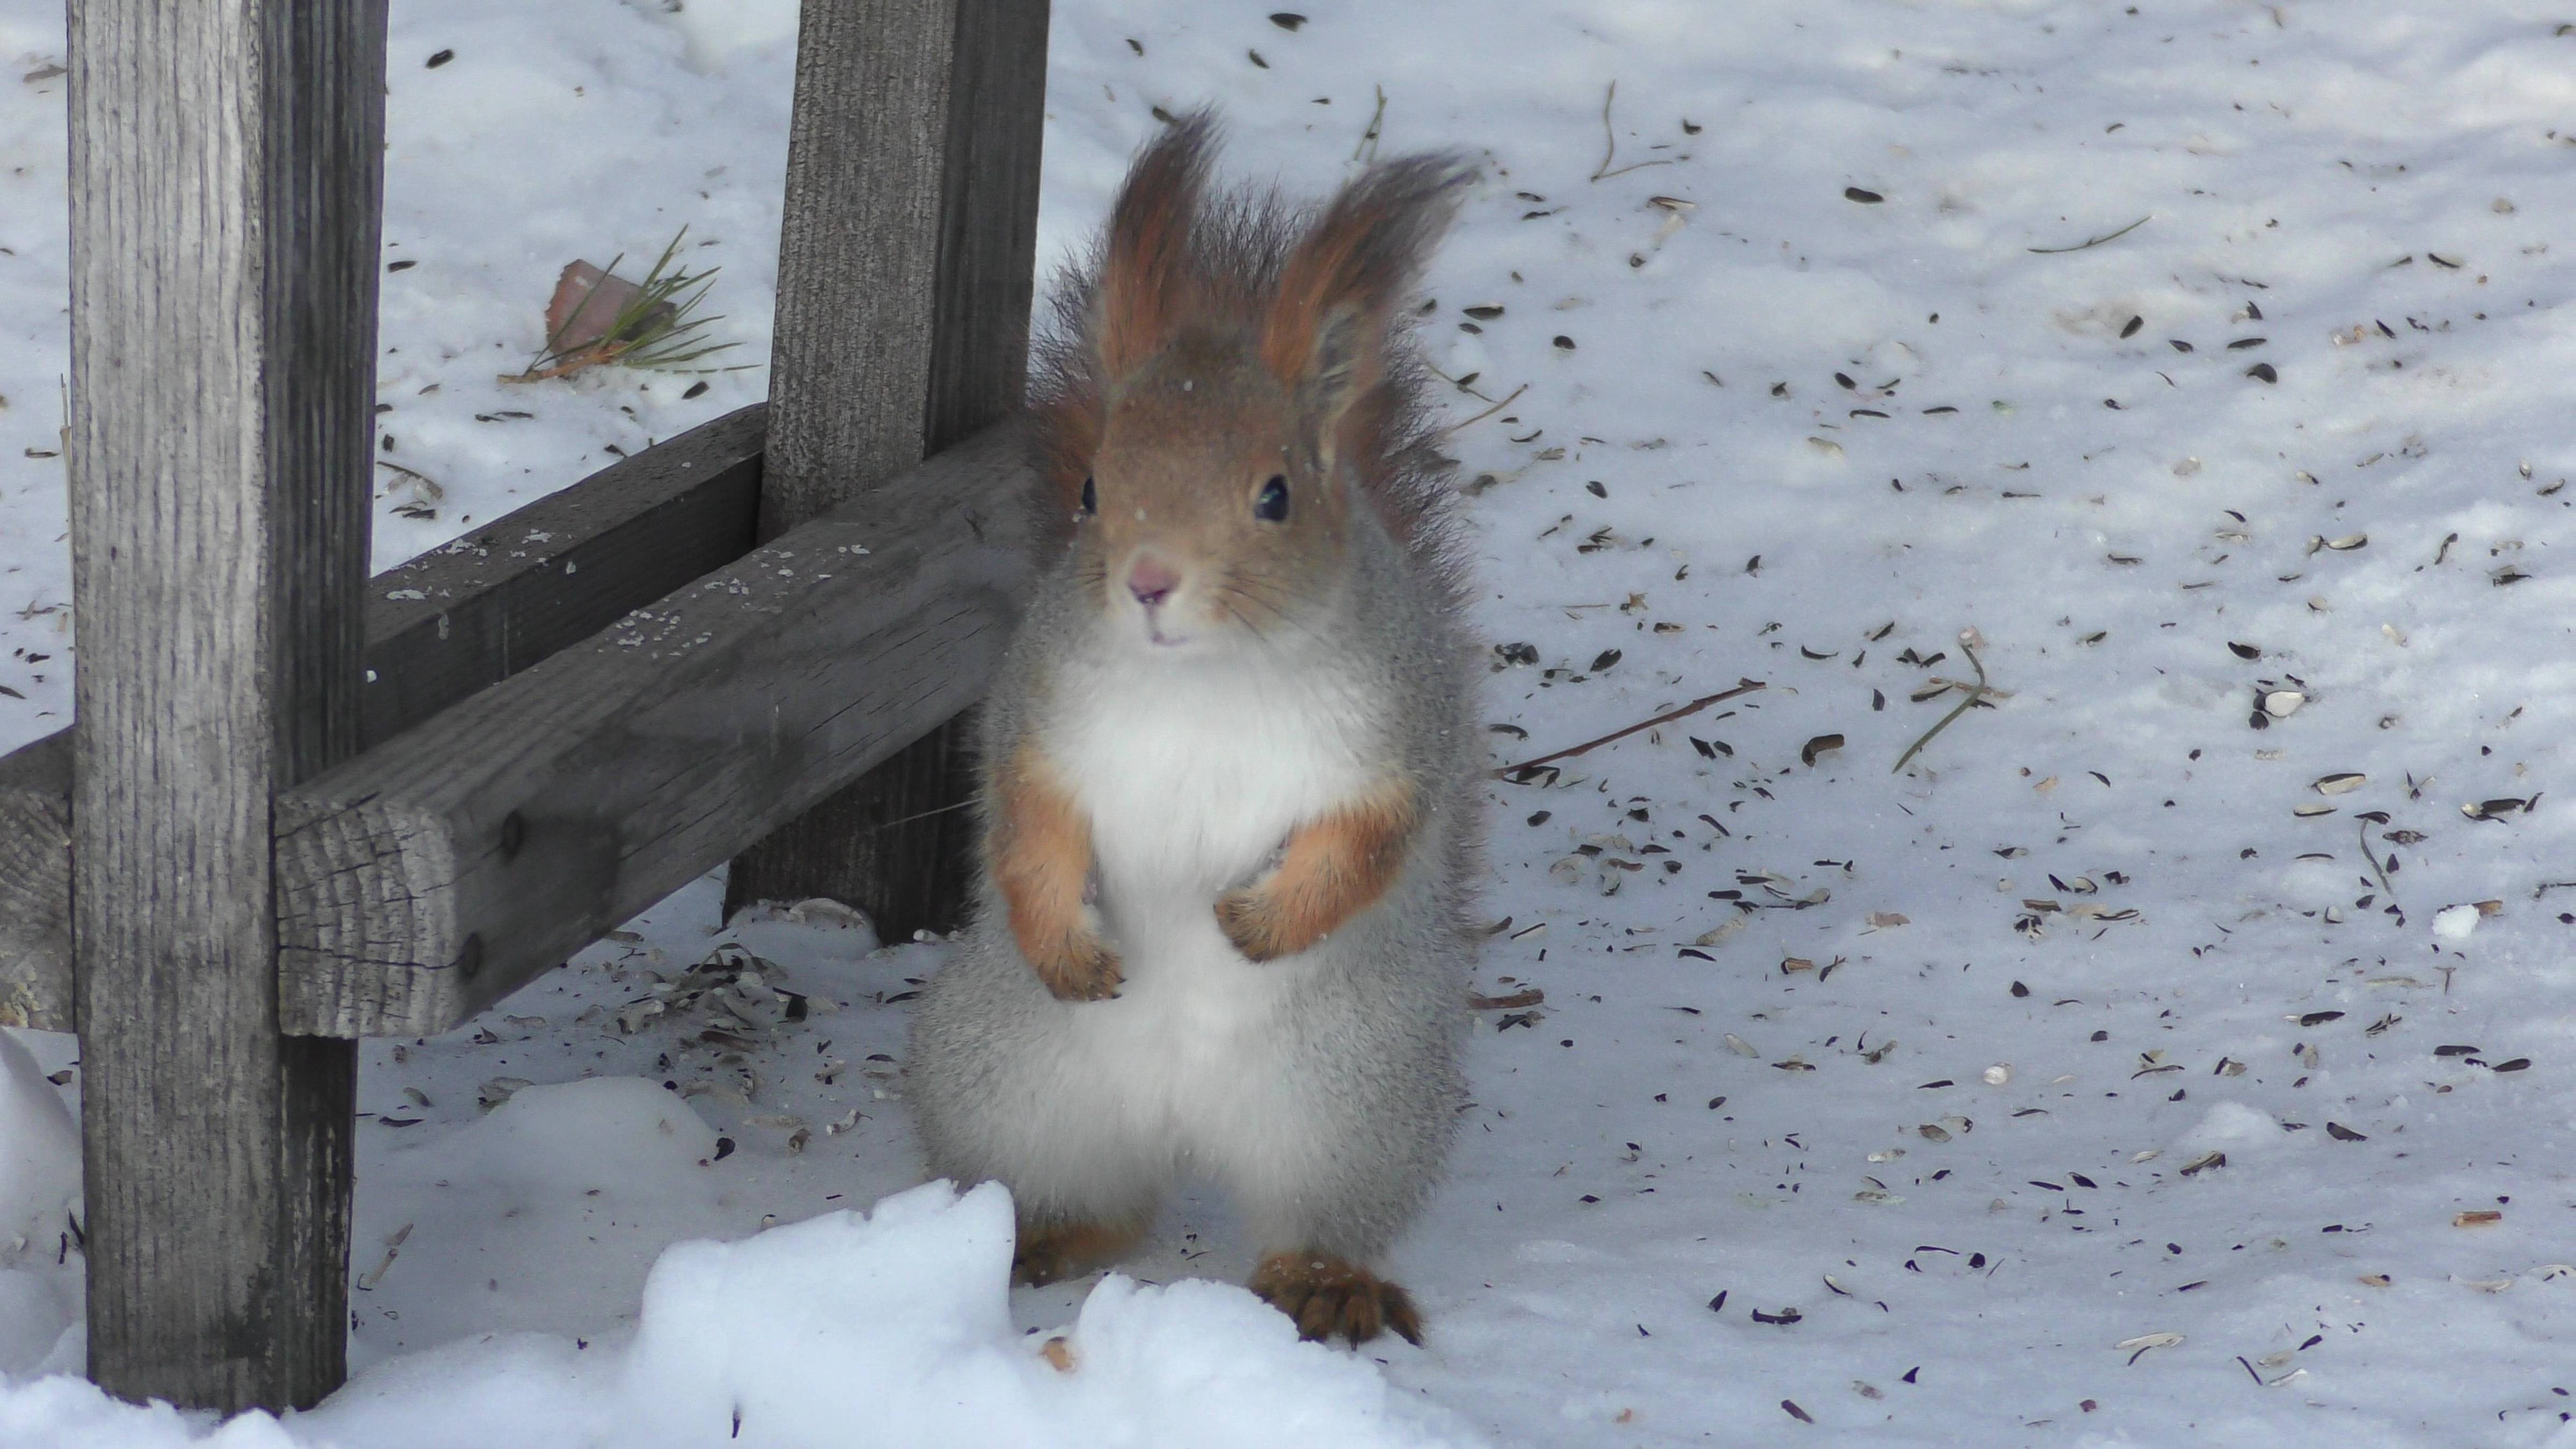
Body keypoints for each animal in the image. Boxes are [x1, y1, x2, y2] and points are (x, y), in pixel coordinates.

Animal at [917, 115, 1494, 1341]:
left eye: (1275, 495)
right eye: (1093, 489)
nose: (1147, 580)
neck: (1207, 681)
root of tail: (1183, 1129)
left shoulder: (1399, 730)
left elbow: (1372, 838)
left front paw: (1261, 924)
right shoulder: (1042, 712)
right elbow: (1028, 819)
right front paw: (1063, 939)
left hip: (1350, 1108)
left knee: (1310, 1213)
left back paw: (1322, 1283)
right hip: (1005, 1082)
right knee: (1102, 1200)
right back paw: (1041, 1239)